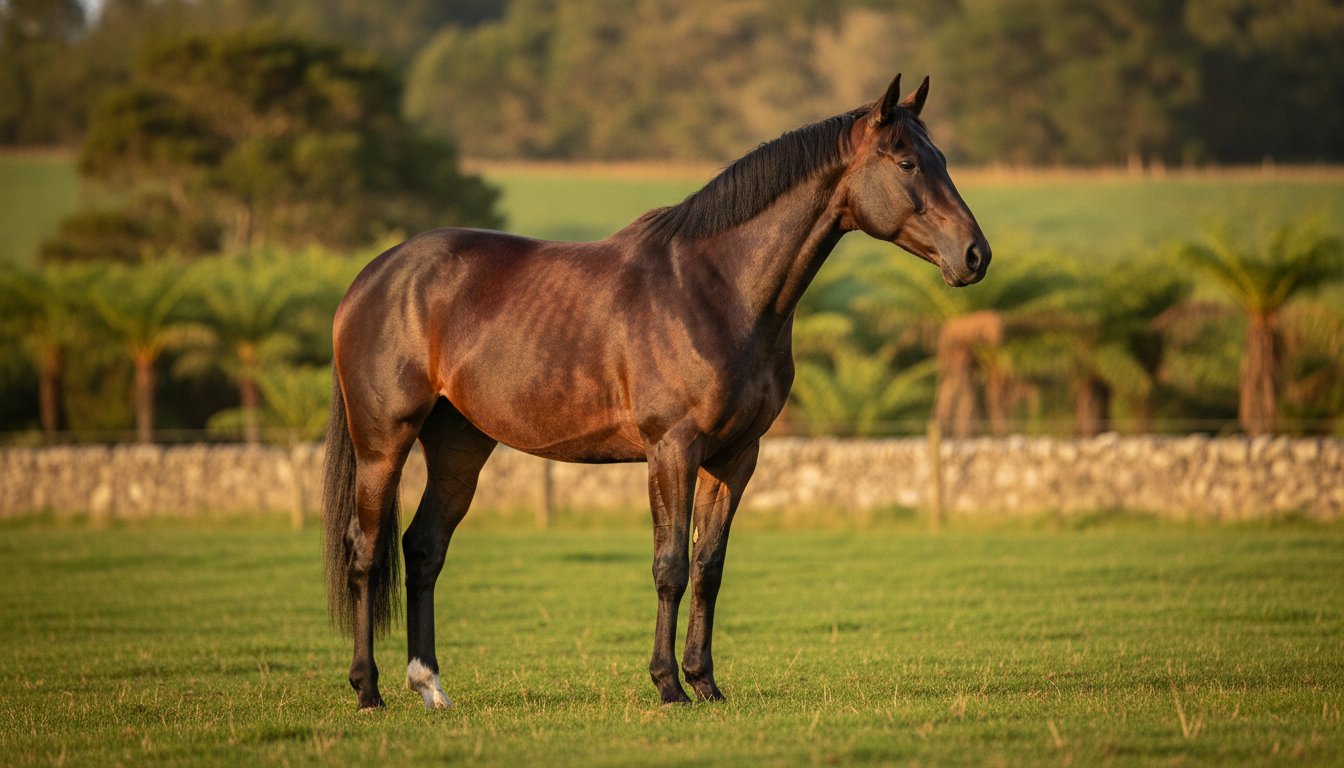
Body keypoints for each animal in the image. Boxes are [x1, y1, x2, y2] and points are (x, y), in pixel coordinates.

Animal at [322, 74, 990, 710]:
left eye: (941, 158)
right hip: (383, 443)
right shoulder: (672, 448)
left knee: (423, 548)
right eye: (905, 163)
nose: (975, 255)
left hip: (459, 445)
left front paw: (705, 682)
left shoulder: (736, 456)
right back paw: (368, 690)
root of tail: (371, 278)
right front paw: (668, 684)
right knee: (365, 551)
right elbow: (669, 566)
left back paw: (429, 685)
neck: (718, 290)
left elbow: (708, 567)